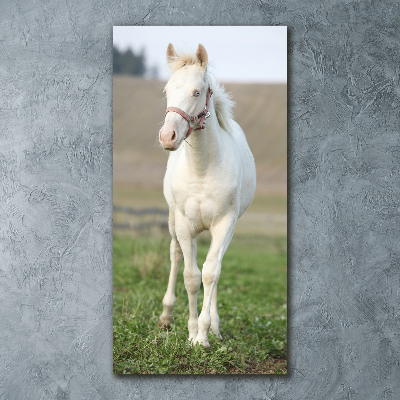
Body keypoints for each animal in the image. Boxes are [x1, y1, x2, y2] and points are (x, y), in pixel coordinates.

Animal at [157, 43, 255, 346]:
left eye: (197, 92)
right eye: (167, 90)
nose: (168, 137)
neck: (202, 170)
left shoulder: (224, 224)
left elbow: (211, 273)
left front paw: (204, 334)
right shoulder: (184, 224)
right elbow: (190, 276)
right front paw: (190, 333)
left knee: (214, 267)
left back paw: (215, 327)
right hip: (173, 221)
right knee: (175, 255)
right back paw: (166, 316)